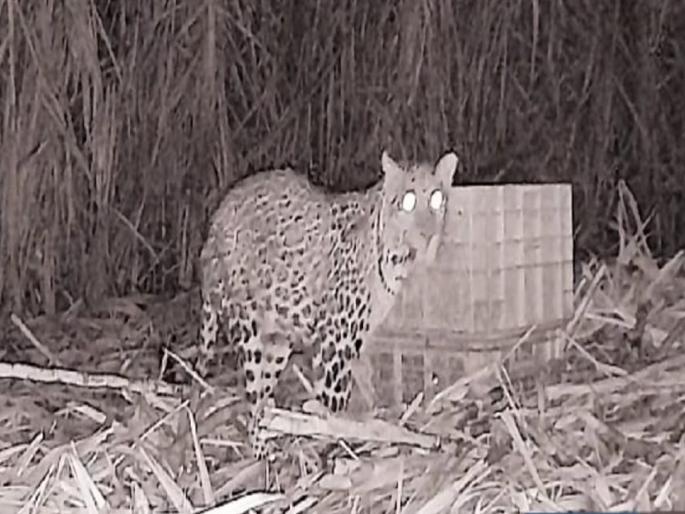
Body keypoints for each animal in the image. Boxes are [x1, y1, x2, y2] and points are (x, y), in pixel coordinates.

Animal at [196, 150, 458, 459]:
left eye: (437, 199)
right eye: (408, 201)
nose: (428, 234)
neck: (398, 261)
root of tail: (217, 217)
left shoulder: (356, 341)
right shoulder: (336, 341)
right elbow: (333, 401)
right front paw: (335, 441)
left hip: (277, 339)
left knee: (262, 396)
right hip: (249, 327)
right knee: (253, 390)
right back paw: (262, 450)